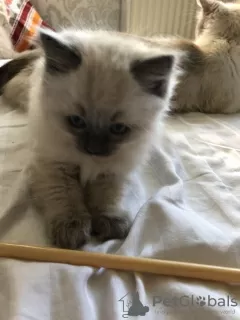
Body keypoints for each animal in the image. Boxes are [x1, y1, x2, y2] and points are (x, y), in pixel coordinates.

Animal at [0, 28, 184, 249]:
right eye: (76, 121)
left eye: (118, 129)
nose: (93, 149)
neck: (90, 162)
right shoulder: (55, 166)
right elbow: (66, 197)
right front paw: (72, 231)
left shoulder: (113, 170)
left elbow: (109, 197)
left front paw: (110, 223)